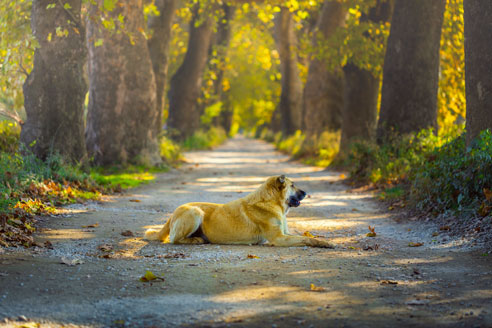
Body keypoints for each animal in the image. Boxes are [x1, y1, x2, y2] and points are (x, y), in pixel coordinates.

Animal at [142, 174, 334, 249]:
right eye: (293, 185)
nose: (306, 193)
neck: (271, 202)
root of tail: (172, 214)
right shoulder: (279, 238)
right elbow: (305, 239)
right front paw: (324, 243)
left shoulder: (285, 233)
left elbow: (304, 235)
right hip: (195, 212)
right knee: (175, 239)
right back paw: (196, 240)